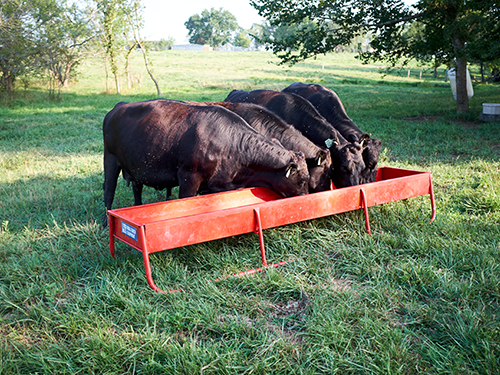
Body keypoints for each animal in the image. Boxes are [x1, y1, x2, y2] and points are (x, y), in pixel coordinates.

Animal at [102, 99, 308, 223]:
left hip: (135, 167)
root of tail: (119, 106)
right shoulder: (189, 177)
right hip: (110, 160)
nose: (307, 197)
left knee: (137, 189)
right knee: (108, 191)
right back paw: (105, 223)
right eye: (303, 179)